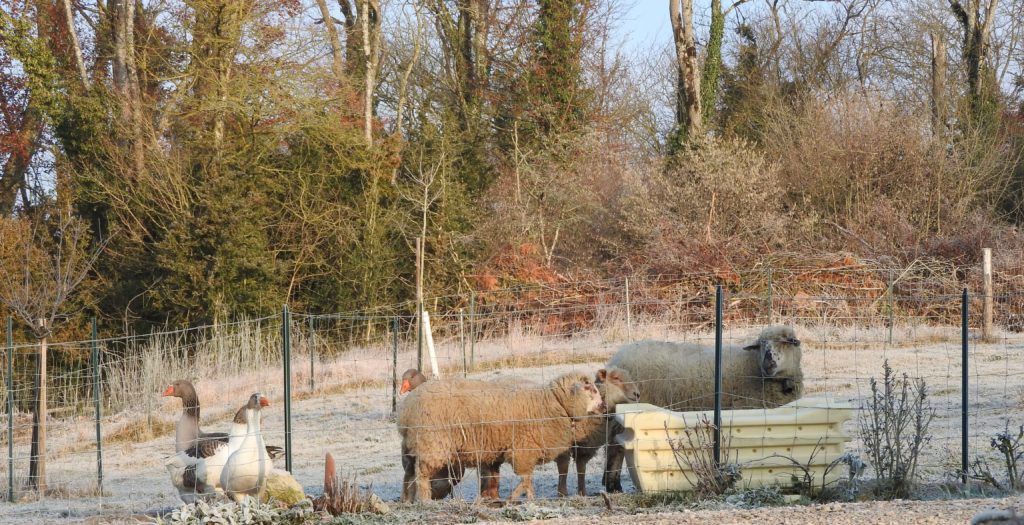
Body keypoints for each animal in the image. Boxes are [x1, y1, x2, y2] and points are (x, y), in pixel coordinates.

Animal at [399, 370, 602, 501]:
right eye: (590, 389)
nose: (603, 406)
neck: (552, 402)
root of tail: (406, 410)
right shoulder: (523, 451)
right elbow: (526, 478)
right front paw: (519, 498)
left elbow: (526, 479)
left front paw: (527, 499)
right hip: (432, 444)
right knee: (422, 475)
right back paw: (425, 501)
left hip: (413, 447)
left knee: (409, 474)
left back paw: (408, 500)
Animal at [552, 364, 638, 495]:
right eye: (616, 378)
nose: (637, 394)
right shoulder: (563, 444)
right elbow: (563, 469)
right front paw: (562, 494)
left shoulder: (585, 447)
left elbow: (581, 469)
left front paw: (582, 493)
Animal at [598, 323, 806, 491]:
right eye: (761, 345)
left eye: (787, 342)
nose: (768, 362)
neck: (755, 369)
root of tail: (615, 360)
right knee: (615, 447)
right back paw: (612, 485)